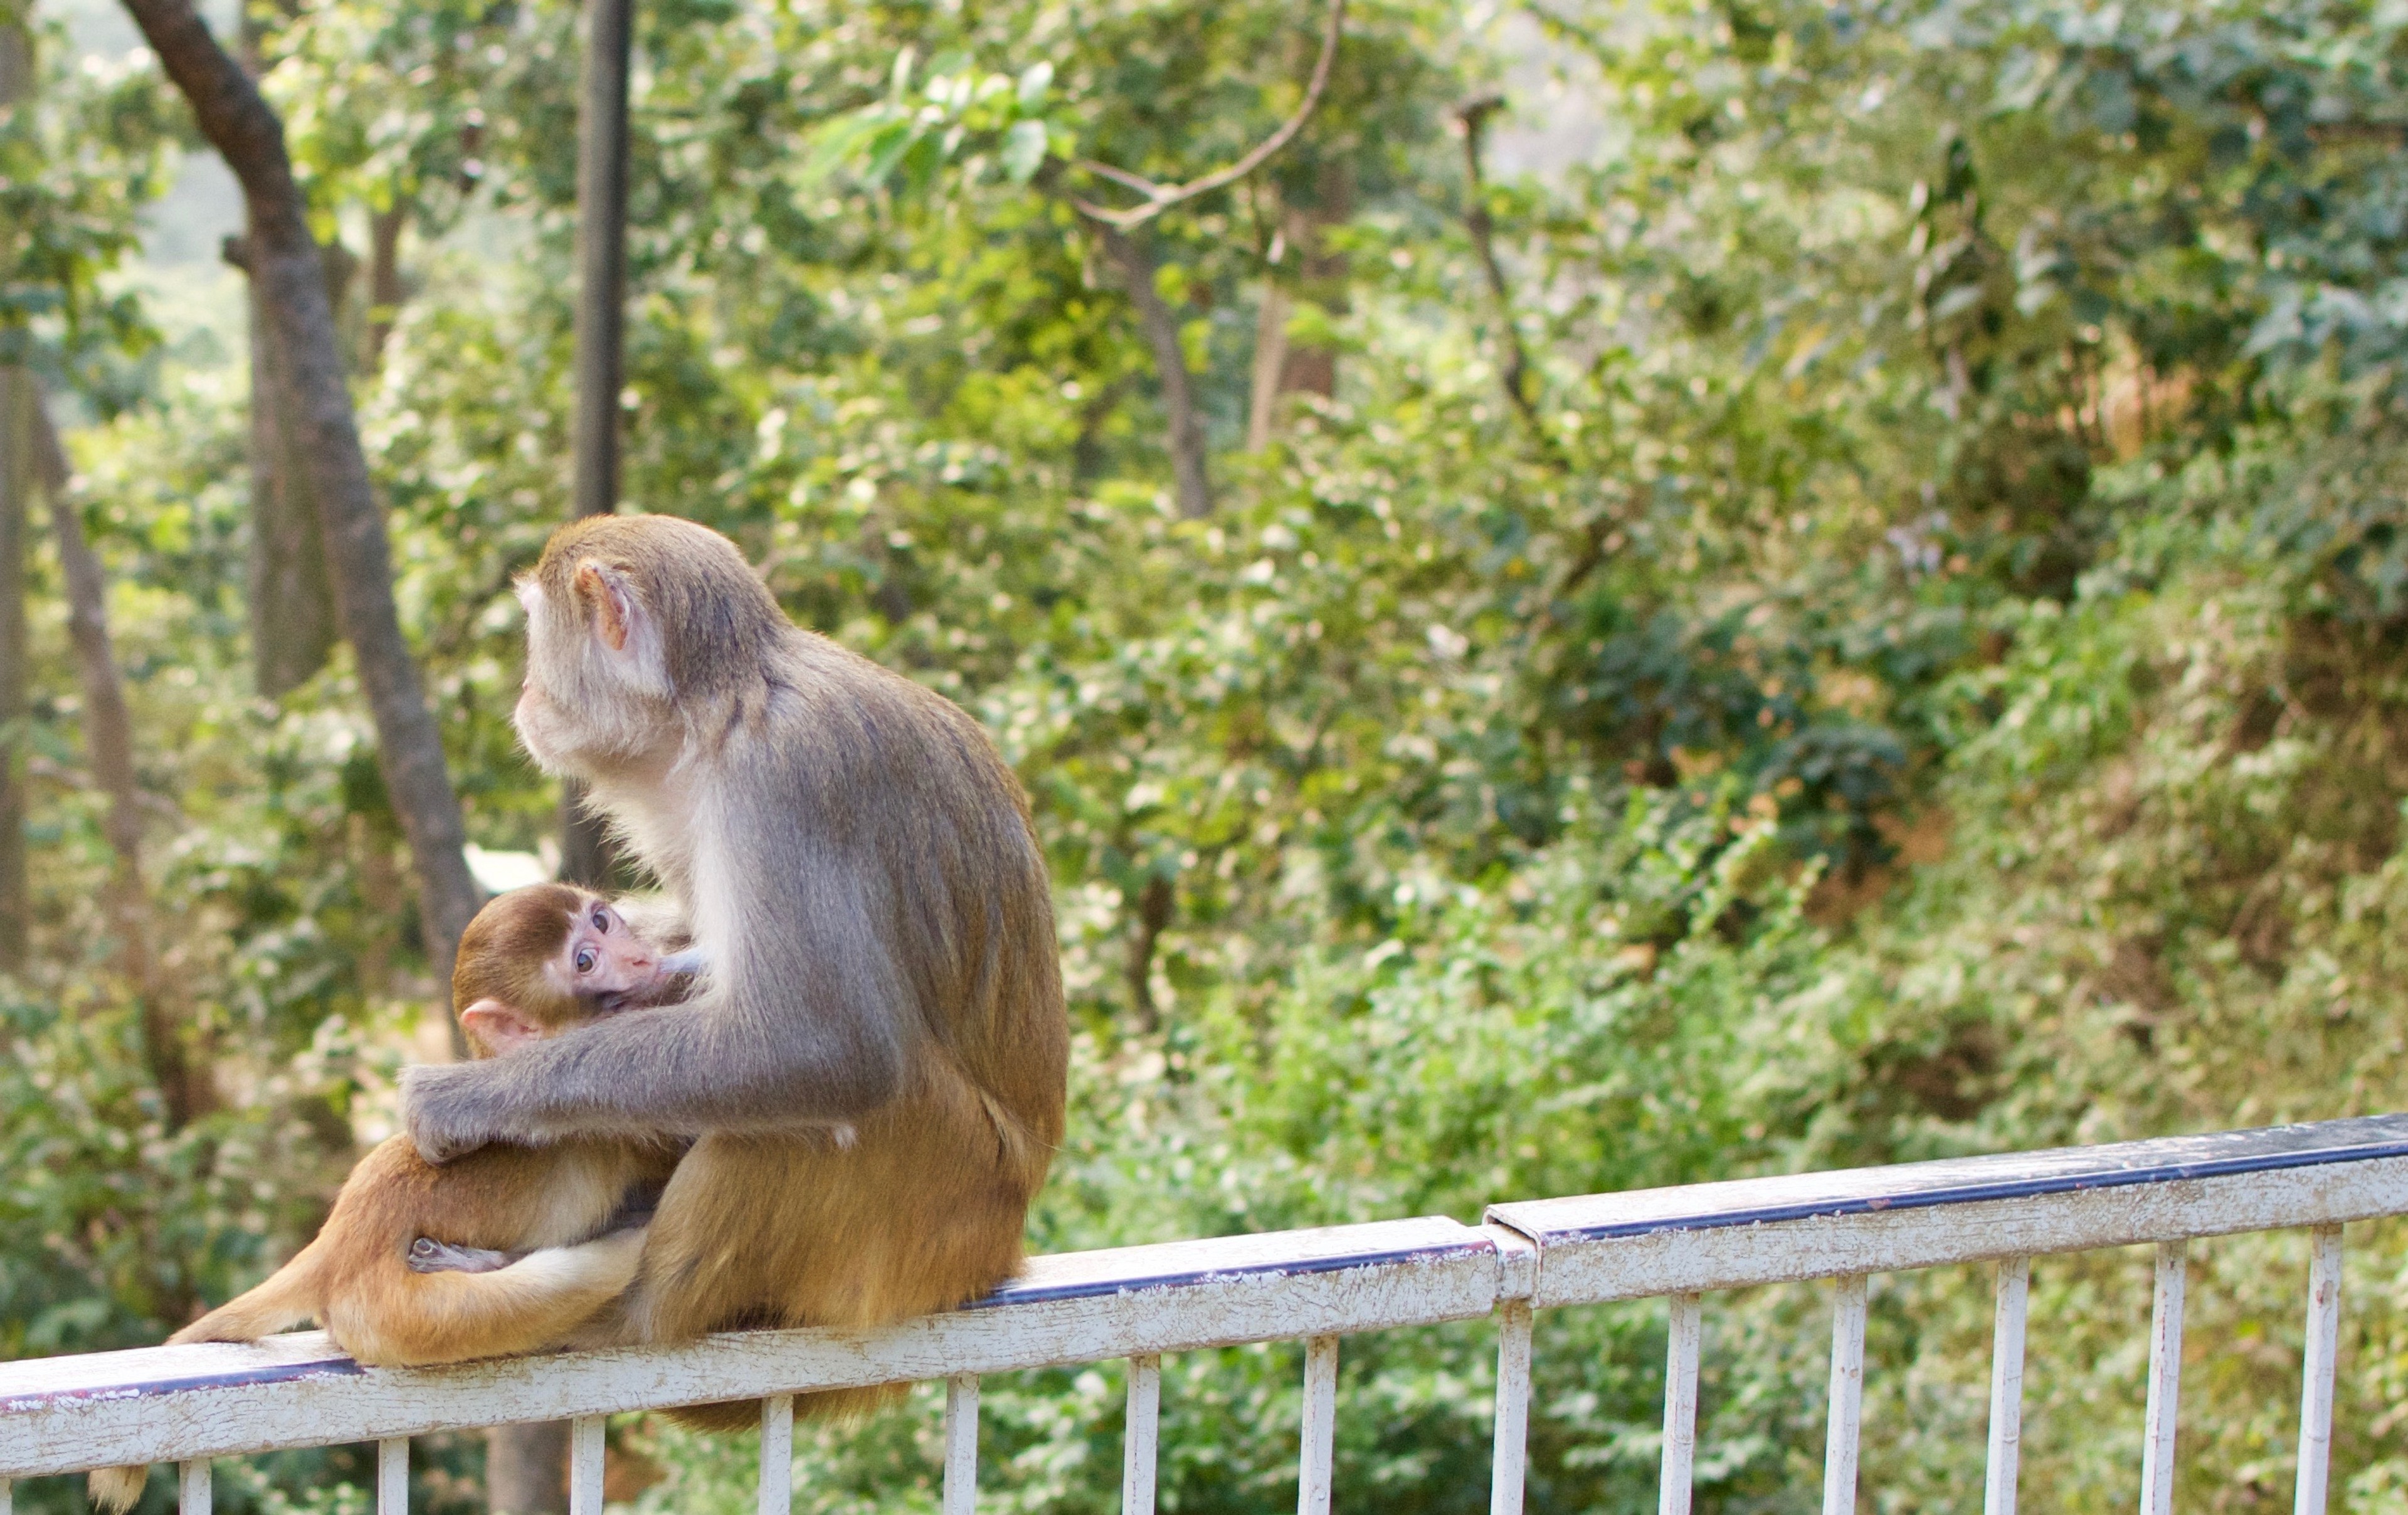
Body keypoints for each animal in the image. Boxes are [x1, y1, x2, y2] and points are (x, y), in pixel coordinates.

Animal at [89, 884, 692, 1514]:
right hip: (405, 1314)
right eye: (585, 961)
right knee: (592, 1271)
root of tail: (336, 1244)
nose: (640, 958)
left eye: (603, 920)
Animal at [398, 513, 1069, 1425]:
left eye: (536, 631)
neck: (716, 714)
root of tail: (999, 1248)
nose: (527, 693)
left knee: (822, 1107)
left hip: (939, 1199)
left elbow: (823, 1044)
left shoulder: (779, 786)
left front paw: (470, 1097)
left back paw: (622, 1312)